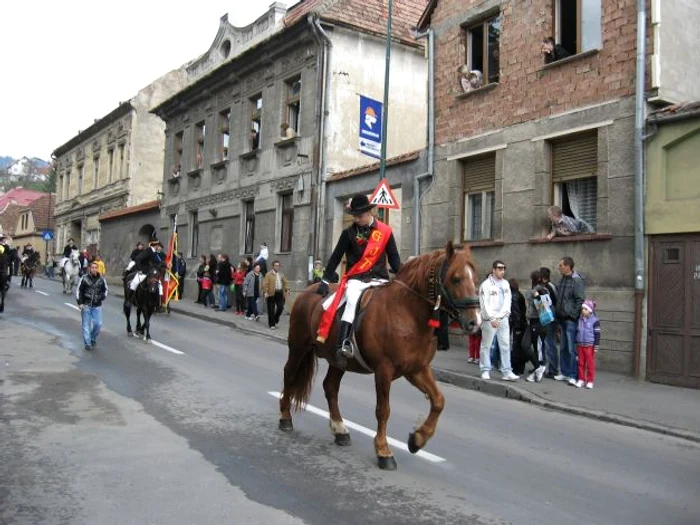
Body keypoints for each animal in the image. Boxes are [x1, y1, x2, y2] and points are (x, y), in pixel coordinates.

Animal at [278, 244, 482, 468]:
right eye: (456, 278)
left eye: (476, 278)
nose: (475, 322)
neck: (407, 312)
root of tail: (308, 290)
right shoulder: (384, 370)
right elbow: (383, 410)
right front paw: (384, 451)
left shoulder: (417, 369)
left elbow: (438, 401)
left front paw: (417, 439)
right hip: (298, 346)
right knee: (290, 375)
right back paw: (285, 418)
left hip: (338, 360)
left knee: (330, 387)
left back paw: (340, 430)